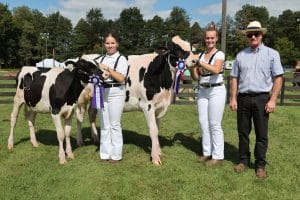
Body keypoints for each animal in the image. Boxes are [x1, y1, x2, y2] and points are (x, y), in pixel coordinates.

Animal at [75, 35, 197, 165]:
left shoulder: (159, 106)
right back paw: (80, 141)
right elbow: (153, 130)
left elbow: (157, 129)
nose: (195, 60)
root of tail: (82, 56)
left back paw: (96, 137)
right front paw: (155, 158)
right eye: (176, 49)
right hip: (81, 98)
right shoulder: (147, 105)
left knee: (91, 114)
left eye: (190, 48)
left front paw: (158, 151)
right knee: (79, 116)